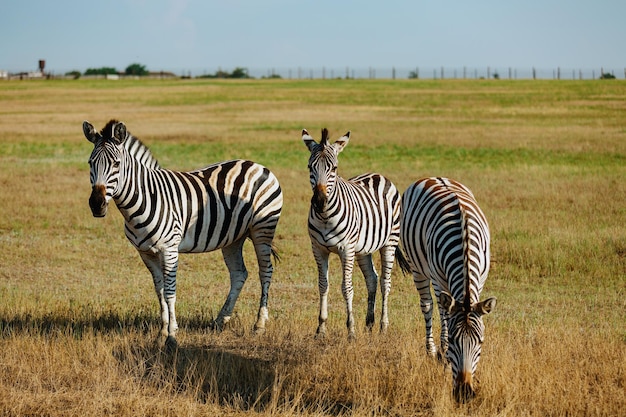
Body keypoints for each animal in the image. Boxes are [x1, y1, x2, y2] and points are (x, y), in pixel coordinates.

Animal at [81, 118, 282, 346]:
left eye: (116, 164)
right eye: (90, 163)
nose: (96, 205)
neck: (146, 197)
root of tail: (257, 165)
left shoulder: (169, 249)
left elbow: (170, 292)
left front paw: (172, 336)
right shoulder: (146, 253)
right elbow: (159, 292)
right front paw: (162, 333)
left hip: (263, 229)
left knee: (265, 271)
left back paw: (259, 325)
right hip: (233, 237)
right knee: (239, 273)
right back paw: (221, 320)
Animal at [300, 128, 408, 340]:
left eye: (334, 168)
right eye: (309, 167)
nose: (319, 201)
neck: (325, 217)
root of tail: (377, 175)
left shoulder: (346, 249)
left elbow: (346, 288)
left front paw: (351, 330)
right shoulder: (318, 249)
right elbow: (323, 285)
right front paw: (321, 328)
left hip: (389, 242)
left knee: (385, 282)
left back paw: (383, 326)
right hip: (364, 248)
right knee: (372, 279)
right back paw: (369, 323)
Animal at [400, 177, 498, 402]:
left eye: (480, 342)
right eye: (454, 341)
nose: (464, 394)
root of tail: (433, 177)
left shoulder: (480, 279)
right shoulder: (439, 280)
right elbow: (444, 316)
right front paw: (445, 357)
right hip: (418, 267)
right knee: (428, 307)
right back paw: (432, 350)